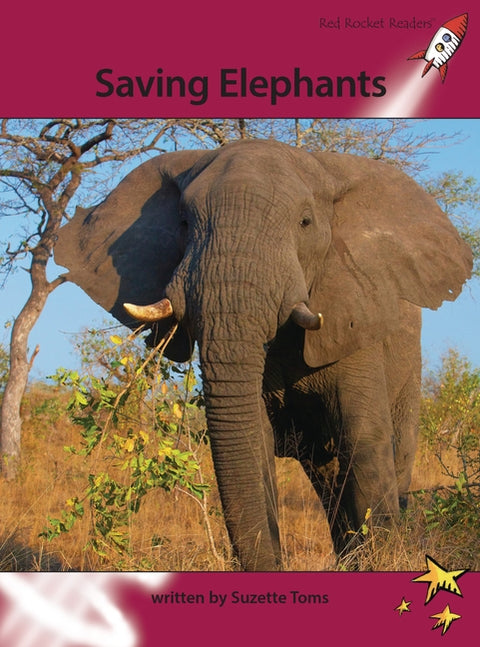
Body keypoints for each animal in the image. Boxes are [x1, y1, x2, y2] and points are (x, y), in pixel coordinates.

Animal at [54, 139, 472, 571]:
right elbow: (254, 440)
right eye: (184, 224)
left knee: (390, 455)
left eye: (305, 222)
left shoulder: (354, 317)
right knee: (328, 482)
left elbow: (364, 440)